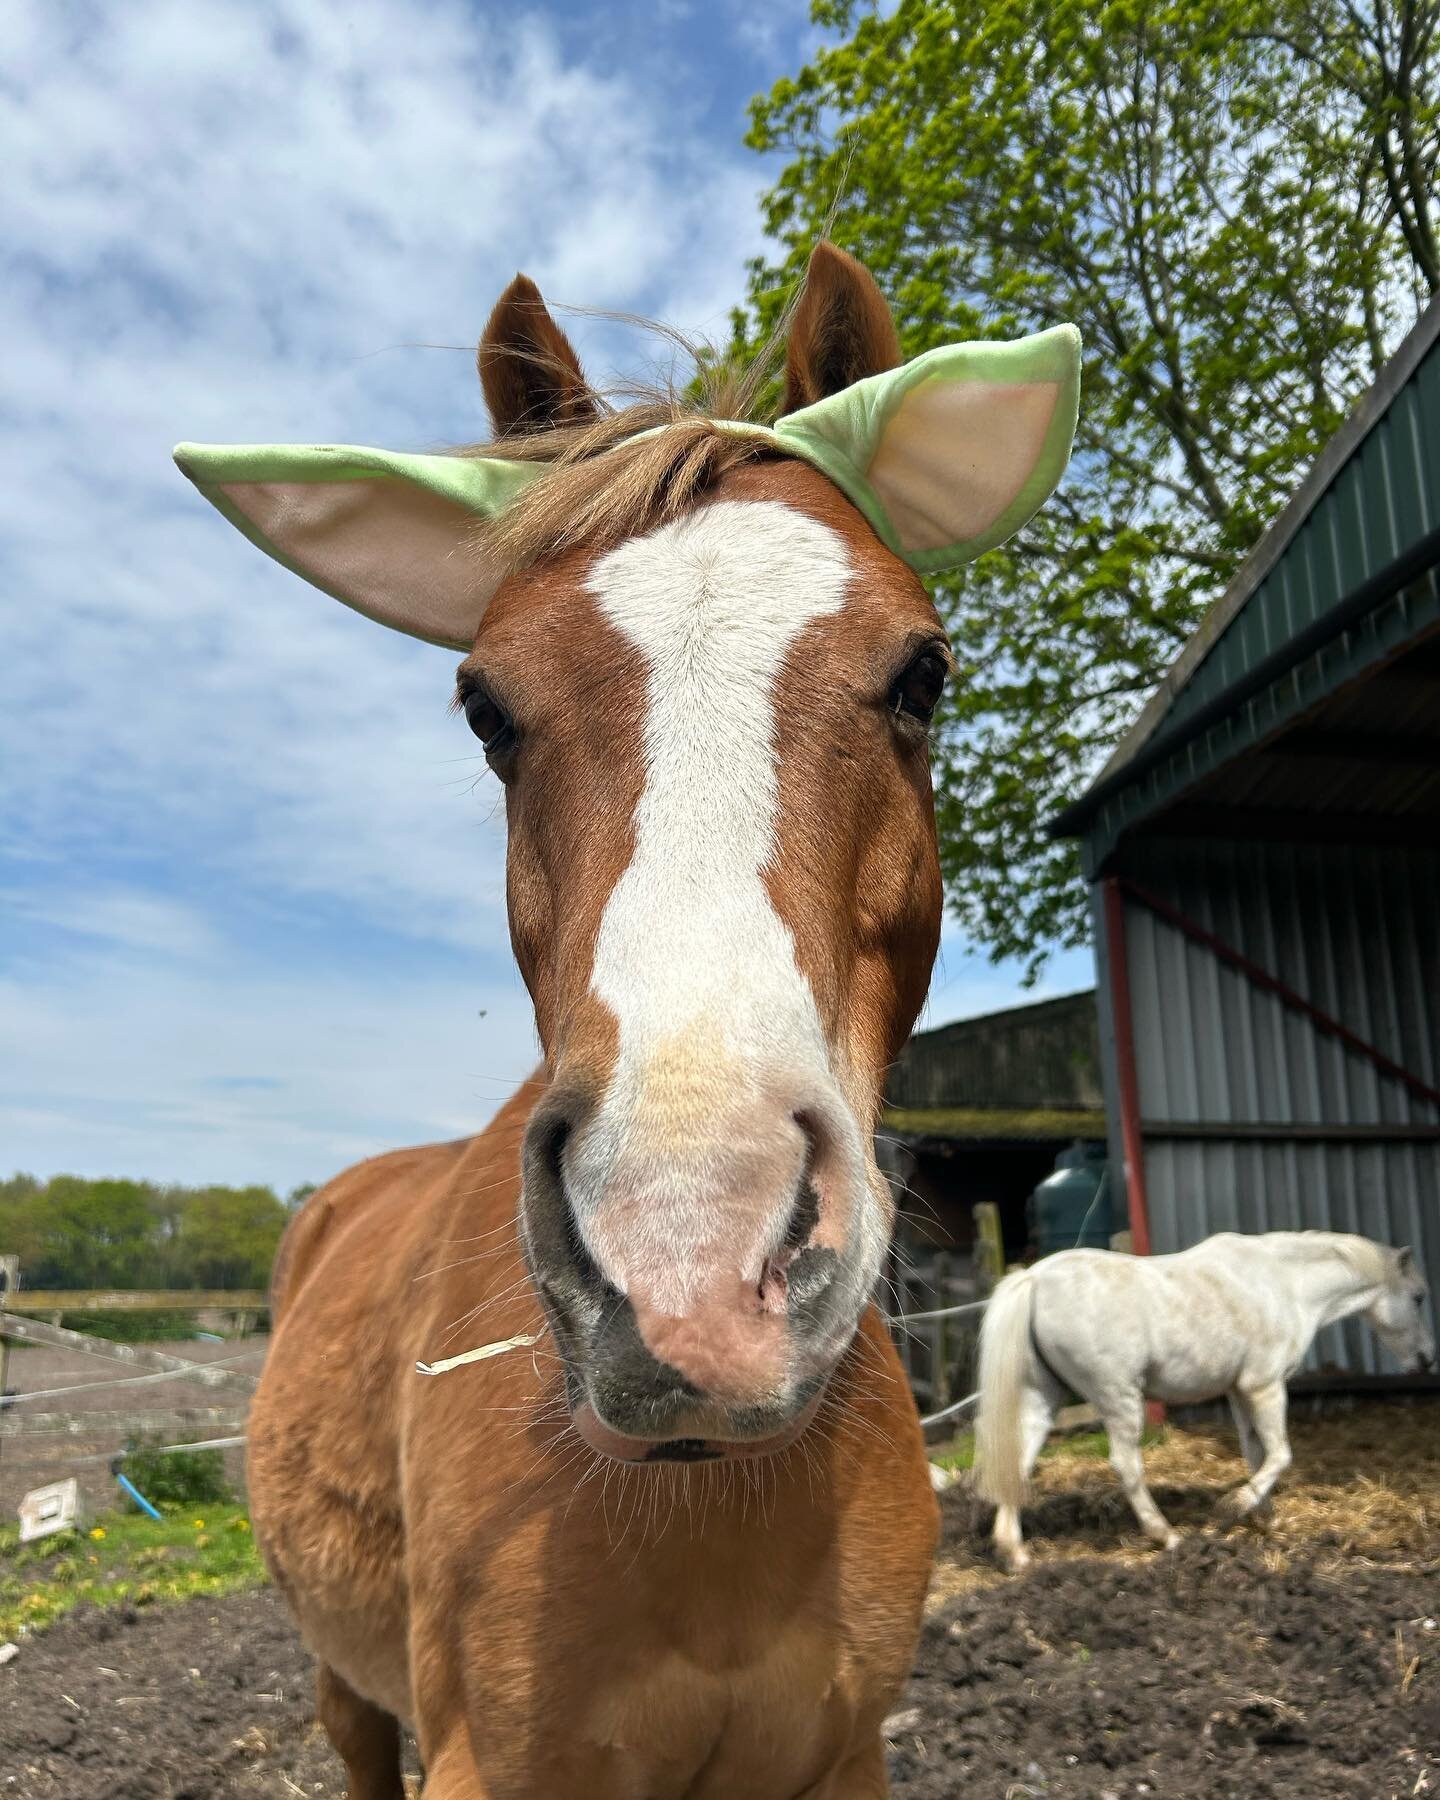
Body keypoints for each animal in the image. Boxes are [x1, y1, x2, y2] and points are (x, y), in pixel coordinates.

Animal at [972, 1231, 1432, 1569]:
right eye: (1418, 1297)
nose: (1427, 1359)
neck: (1284, 1283)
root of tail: (1034, 1279)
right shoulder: (1265, 1386)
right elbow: (1280, 1454)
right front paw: (1235, 1507)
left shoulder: (1239, 1391)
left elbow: (1255, 1452)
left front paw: (1264, 1518)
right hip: (1119, 1399)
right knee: (1125, 1465)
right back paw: (1167, 1535)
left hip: (1041, 1399)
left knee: (1018, 1461)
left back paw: (1014, 1553)